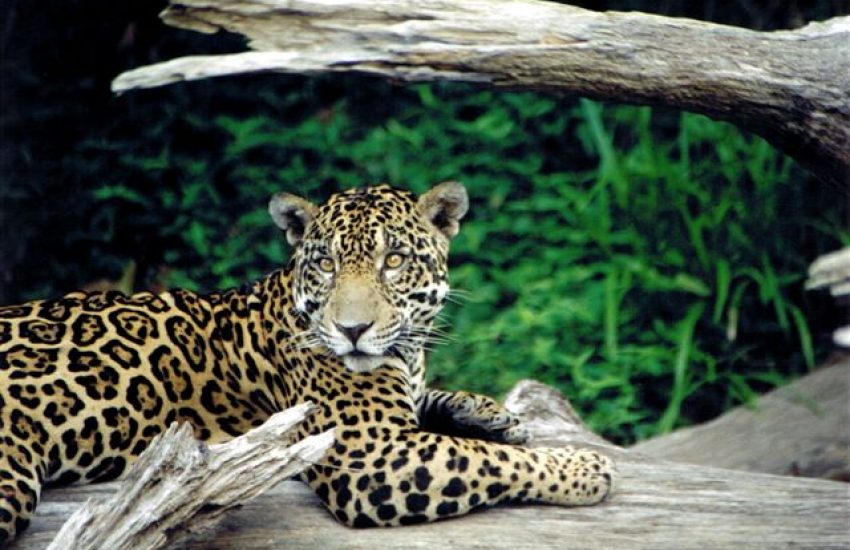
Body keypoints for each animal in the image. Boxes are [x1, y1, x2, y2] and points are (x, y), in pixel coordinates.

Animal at [0, 182, 615, 543]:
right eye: (325, 263)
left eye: (394, 260)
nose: (352, 330)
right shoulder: (369, 456)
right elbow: (491, 461)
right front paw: (582, 467)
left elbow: (439, 404)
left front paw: (492, 414)